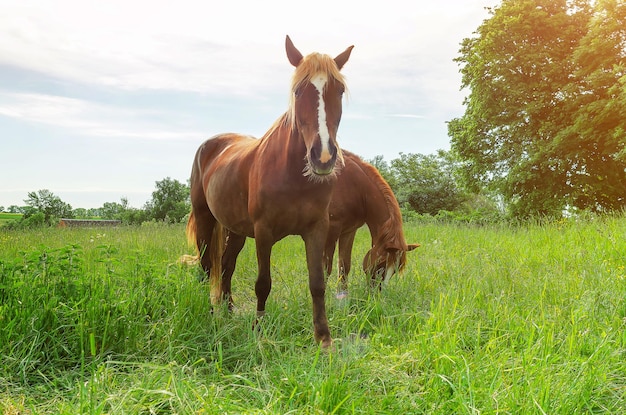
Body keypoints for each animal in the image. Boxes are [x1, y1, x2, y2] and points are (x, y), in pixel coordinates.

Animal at [185, 35, 352, 350]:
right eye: (298, 91)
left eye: (339, 90)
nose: (323, 157)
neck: (291, 174)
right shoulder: (264, 231)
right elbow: (263, 283)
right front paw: (259, 333)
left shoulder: (317, 228)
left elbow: (317, 283)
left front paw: (323, 339)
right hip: (205, 219)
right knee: (206, 267)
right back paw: (210, 313)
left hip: (235, 229)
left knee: (226, 266)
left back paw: (228, 310)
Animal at [322, 151, 420, 294]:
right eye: (381, 263)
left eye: (395, 270)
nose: (377, 294)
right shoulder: (330, 231)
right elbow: (325, 268)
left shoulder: (349, 230)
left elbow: (344, 266)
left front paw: (342, 298)